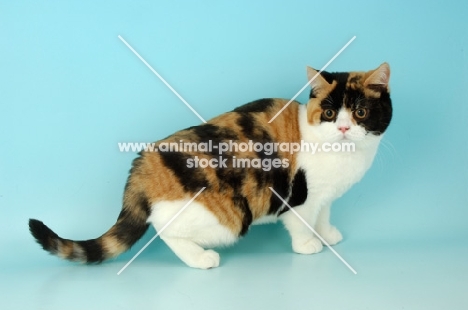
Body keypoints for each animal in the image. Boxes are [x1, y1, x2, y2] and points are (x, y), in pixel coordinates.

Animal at [28, 63, 392, 268]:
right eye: (329, 113)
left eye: (359, 113)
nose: (343, 128)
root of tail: (144, 164)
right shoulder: (301, 198)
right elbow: (303, 224)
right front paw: (308, 245)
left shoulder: (324, 196)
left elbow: (325, 214)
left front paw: (328, 235)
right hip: (226, 219)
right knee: (165, 229)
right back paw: (201, 259)